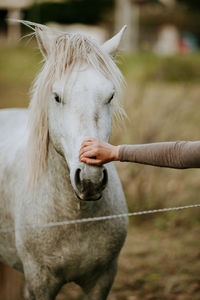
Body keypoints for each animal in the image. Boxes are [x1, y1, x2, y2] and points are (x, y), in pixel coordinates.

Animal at [0, 21, 128, 300]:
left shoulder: (102, 280)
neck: (76, 216)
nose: (90, 180)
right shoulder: (41, 282)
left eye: (111, 96)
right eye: (57, 96)